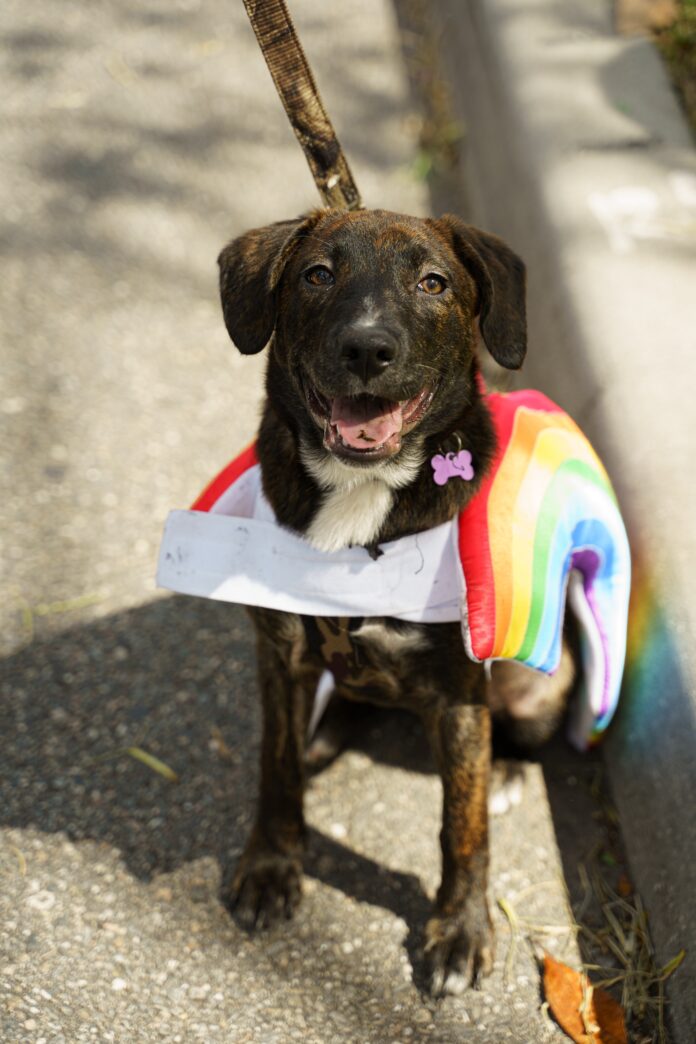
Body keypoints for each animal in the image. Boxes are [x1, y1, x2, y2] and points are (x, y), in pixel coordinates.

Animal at [216, 207, 575, 995]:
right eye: (317, 273)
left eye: (433, 283)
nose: (367, 348)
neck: (362, 496)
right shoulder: (280, 655)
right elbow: (276, 770)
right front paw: (271, 868)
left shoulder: (461, 690)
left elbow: (462, 826)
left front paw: (461, 929)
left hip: (543, 685)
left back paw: (506, 770)